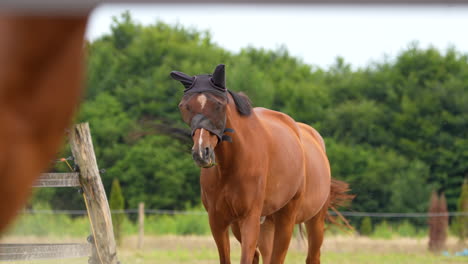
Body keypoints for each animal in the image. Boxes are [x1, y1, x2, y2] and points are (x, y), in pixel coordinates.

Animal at [172, 64, 352, 264]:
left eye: (219, 105)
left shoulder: (250, 218)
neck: (231, 166)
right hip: (265, 224)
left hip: (301, 220)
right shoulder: (218, 221)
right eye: (184, 106)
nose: (201, 153)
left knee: (305, 256)